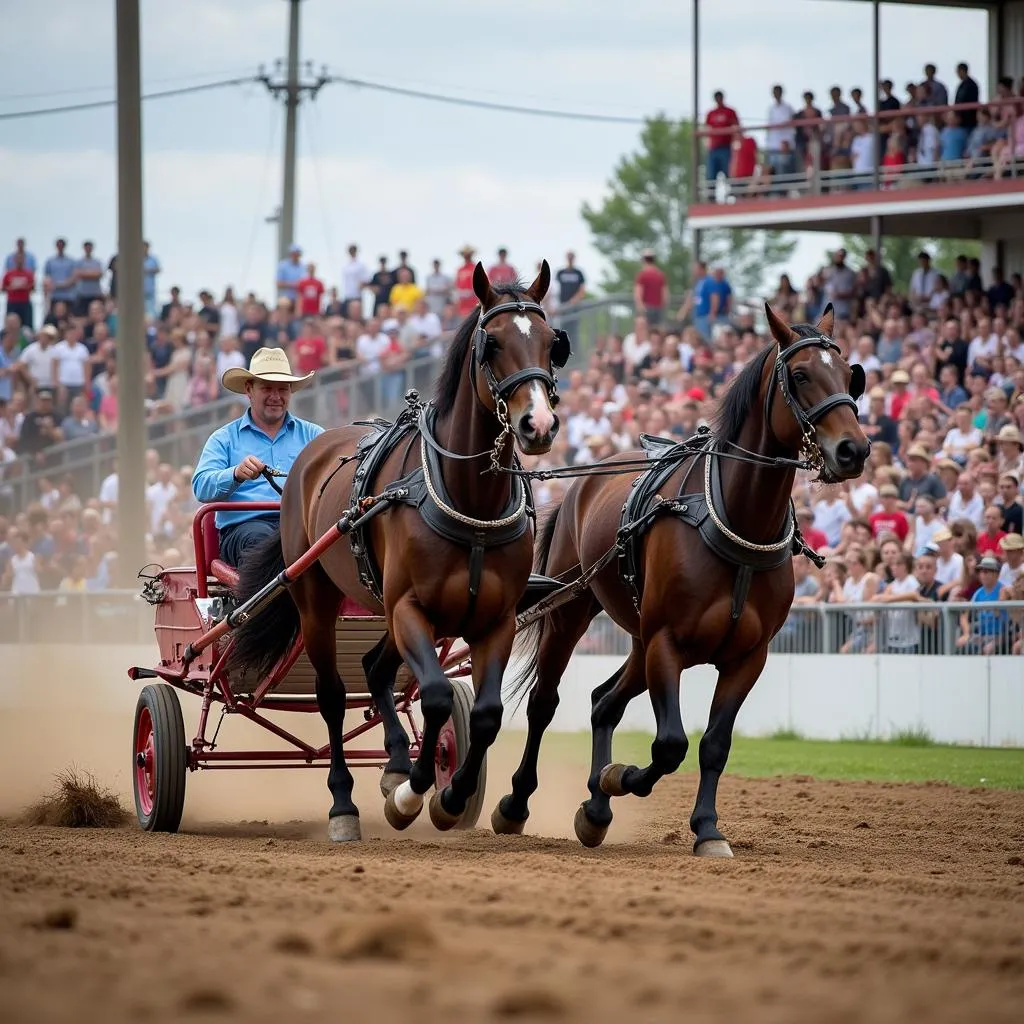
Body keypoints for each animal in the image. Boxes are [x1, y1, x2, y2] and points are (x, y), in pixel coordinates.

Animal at [229, 262, 573, 839]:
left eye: (553, 343)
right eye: (493, 344)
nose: (539, 425)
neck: (469, 502)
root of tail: (304, 460)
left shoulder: (495, 619)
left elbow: (484, 713)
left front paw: (448, 795)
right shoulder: (410, 606)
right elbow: (433, 694)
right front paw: (412, 795)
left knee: (375, 669)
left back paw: (393, 763)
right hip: (318, 599)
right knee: (333, 695)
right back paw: (344, 804)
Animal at [495, 303, 872, 856]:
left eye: (850, 375)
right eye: (801, 375)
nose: (853, 450)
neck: (736, 521)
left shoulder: (747, 657)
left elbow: (714, 744)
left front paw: (706, 828)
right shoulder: (667, 642)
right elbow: (670, 744)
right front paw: (619, 777)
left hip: (637, 638)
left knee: (603, 703)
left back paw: (596, 809)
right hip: (574, 609)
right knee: (545, 704)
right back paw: (517, 803)